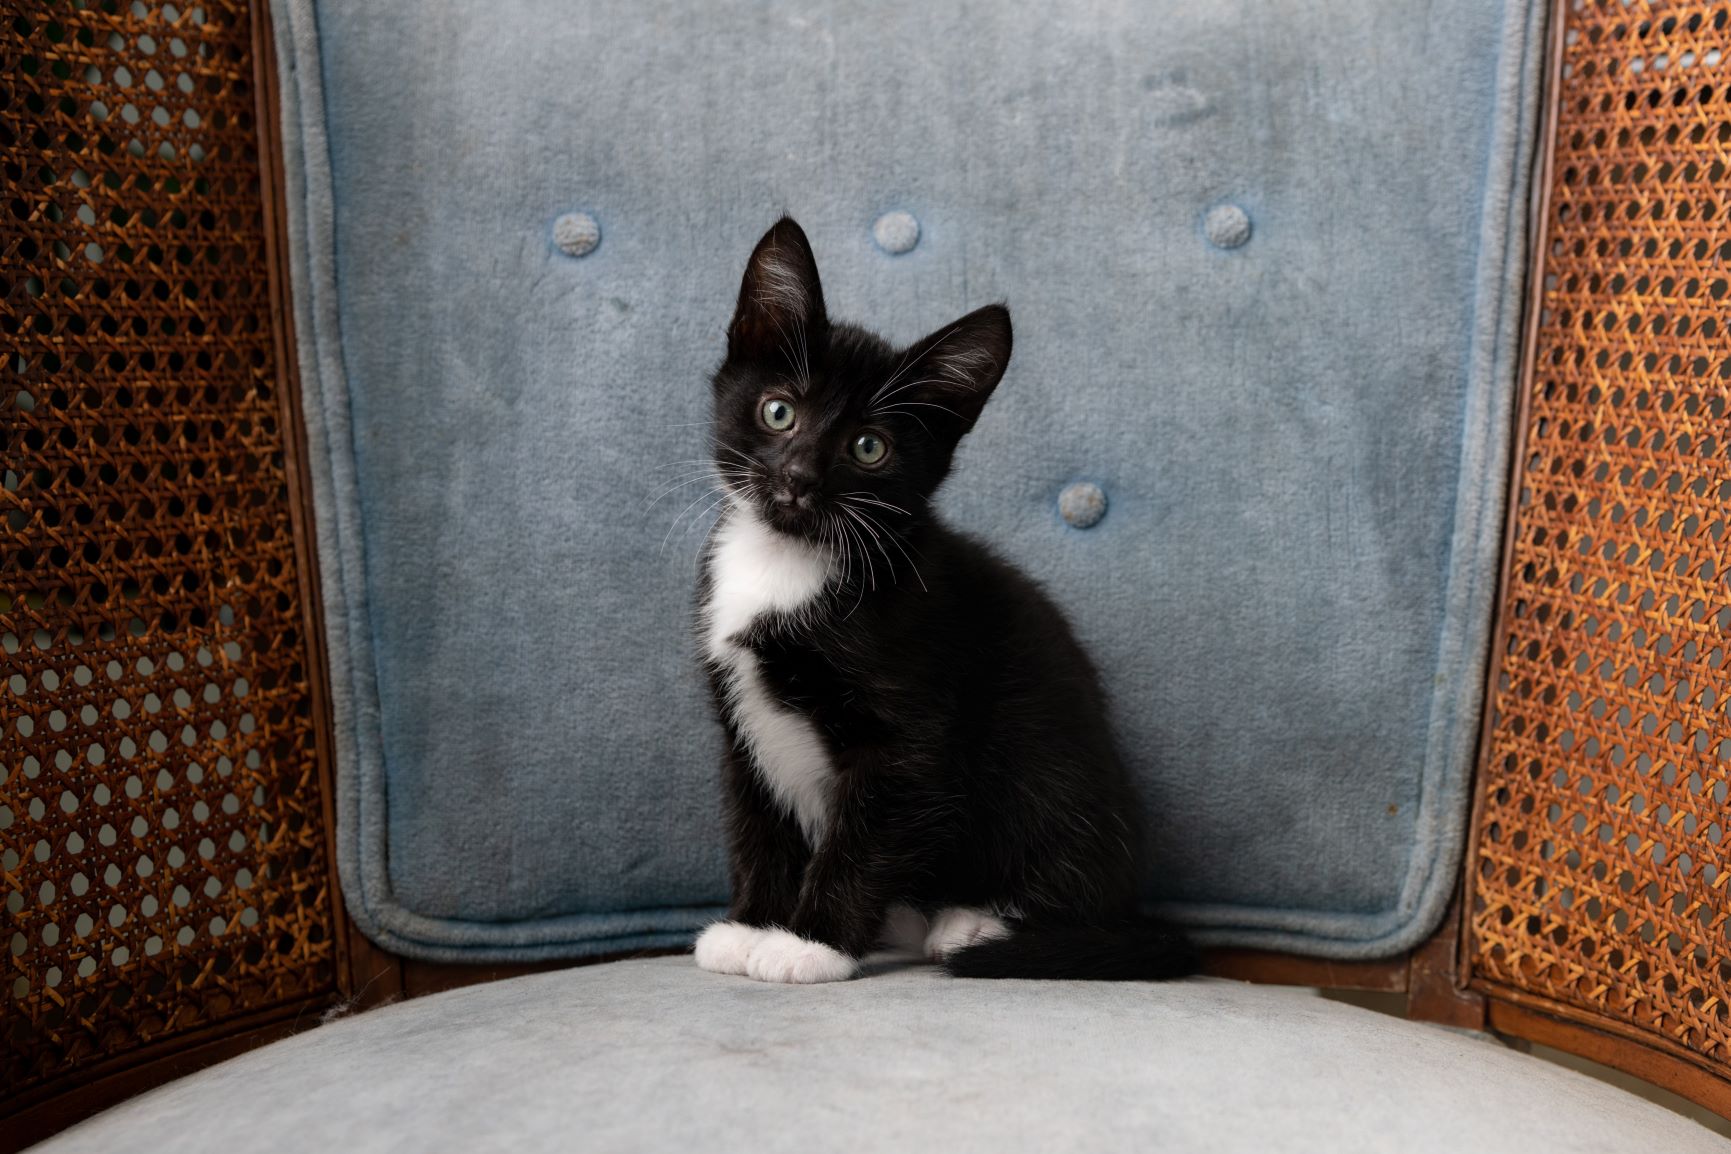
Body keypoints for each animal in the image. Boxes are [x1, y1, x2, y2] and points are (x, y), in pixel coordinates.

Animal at [688, 214, 1190, 982]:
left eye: (869, 447)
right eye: (778, 412)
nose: (798, 477)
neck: (792, 559)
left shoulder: (911, 725)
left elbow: (866, 834)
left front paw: (809, 943)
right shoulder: (738, 720)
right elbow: (756, 821)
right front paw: (749, 925)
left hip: (1047, 762)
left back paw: (973, 923)